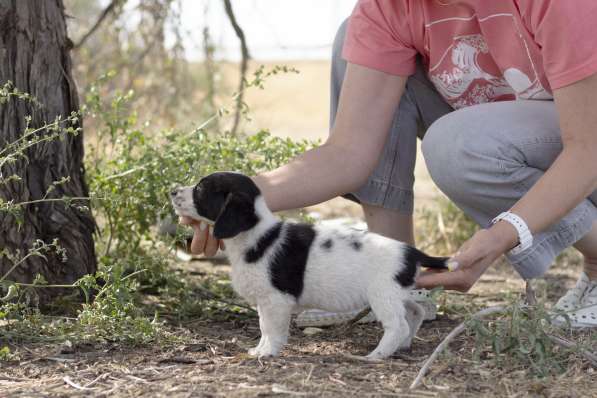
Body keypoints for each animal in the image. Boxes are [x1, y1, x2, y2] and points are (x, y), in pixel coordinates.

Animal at [168, 173, 448, 360]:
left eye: (200, 190)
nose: (172, 191)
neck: (257, 236)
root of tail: (411, 251)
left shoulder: (275, 302)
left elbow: (271, 330)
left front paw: (268, 352)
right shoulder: (265, 304)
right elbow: (263, 328)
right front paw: (259, 349)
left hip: (383, 297)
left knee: (397, 326)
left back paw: (377, 354)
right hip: (398, 294)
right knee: (415, 312)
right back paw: (404, 344)